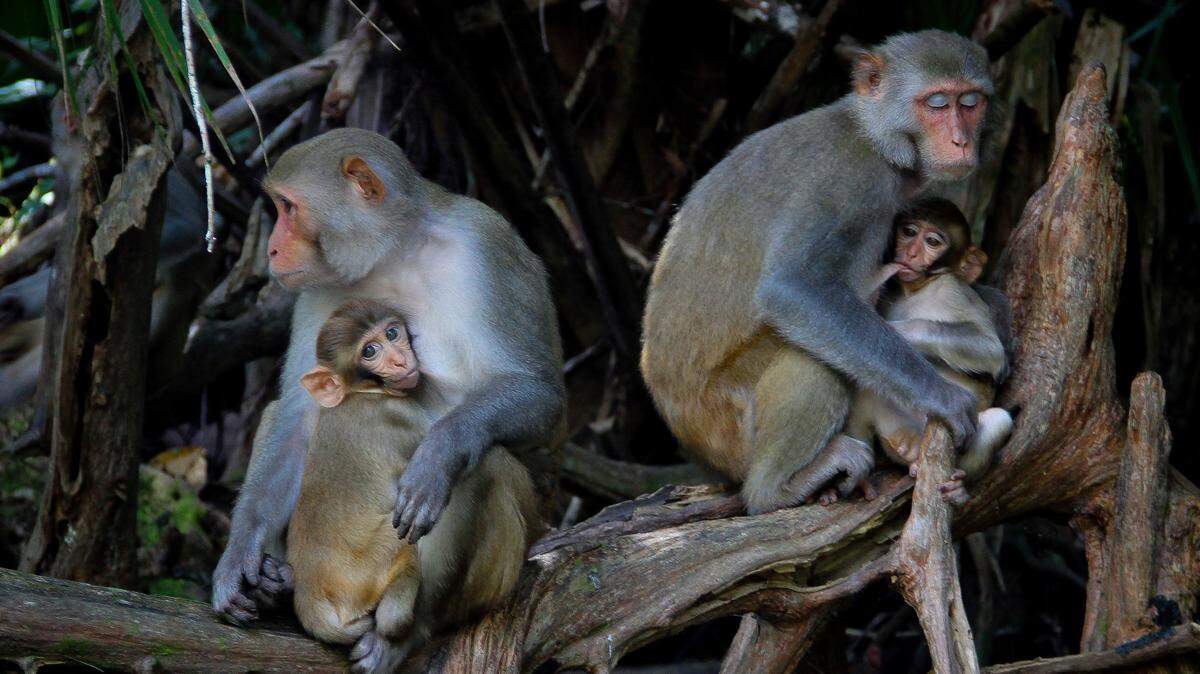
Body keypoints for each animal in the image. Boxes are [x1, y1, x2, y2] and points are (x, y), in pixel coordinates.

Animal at [286, 299, 539, 672]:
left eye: (392, 333)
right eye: (370, 351)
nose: (399, 359)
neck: (361, 394)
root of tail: (308, 594)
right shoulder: (402, 417)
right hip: (377, 558)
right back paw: (401, 624)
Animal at [826, 198, 1012, 506]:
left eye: (933, 241)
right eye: (909, 232)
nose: (911, 252)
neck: (917, 289)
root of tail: (913, 445)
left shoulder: (954, 291)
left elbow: (990, 349)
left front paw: (891, 330)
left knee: (999, 420)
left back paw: (958, 486)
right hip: (894, 425)